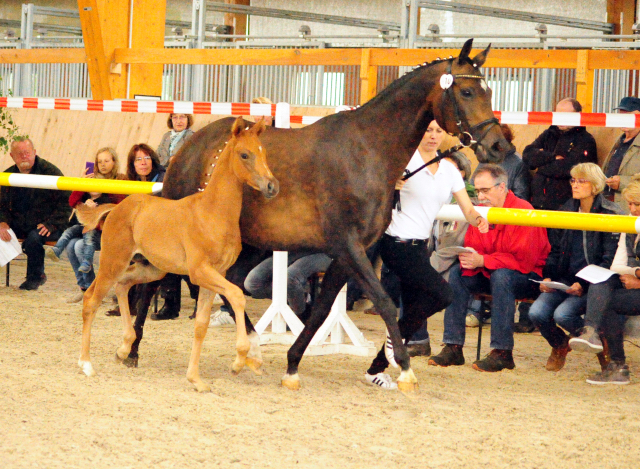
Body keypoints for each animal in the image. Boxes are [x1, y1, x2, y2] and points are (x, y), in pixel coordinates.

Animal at [77, 118, 278, 392]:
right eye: (244, 154)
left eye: (264, 152)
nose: (272, 186)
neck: (212, 213)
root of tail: (117, 207)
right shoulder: (200, 272)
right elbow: (237, 296)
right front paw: (239, 361)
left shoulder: (216, 275)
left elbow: (201, 325)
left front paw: (196, 379)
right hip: (113, 262)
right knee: (91, 300)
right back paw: (86, 364)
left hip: (151, 269)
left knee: (122, 286)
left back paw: (123, 348)